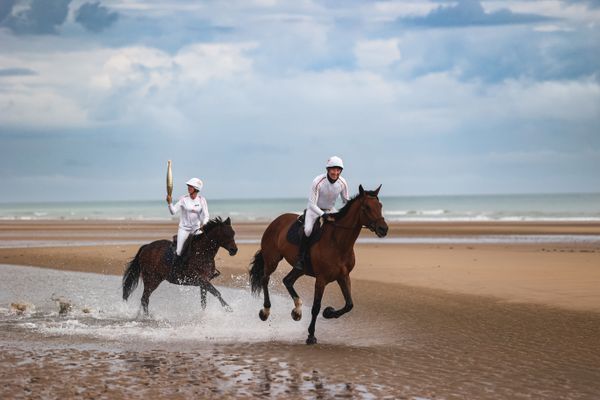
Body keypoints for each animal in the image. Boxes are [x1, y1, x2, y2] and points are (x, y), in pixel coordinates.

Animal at [248, 184, 390, 344]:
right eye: (366, 207)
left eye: (380, 205)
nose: (383, 229)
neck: (338, 243)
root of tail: (276, 221)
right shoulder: (321, 279)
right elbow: (316, 307)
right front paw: (311, 335)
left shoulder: (343, 276)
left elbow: (349, 304)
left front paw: (329, 312)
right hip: (272, 260)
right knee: (265, 279)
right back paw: (265, 312)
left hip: (300, 268)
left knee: (288, 280)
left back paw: (297, 311)